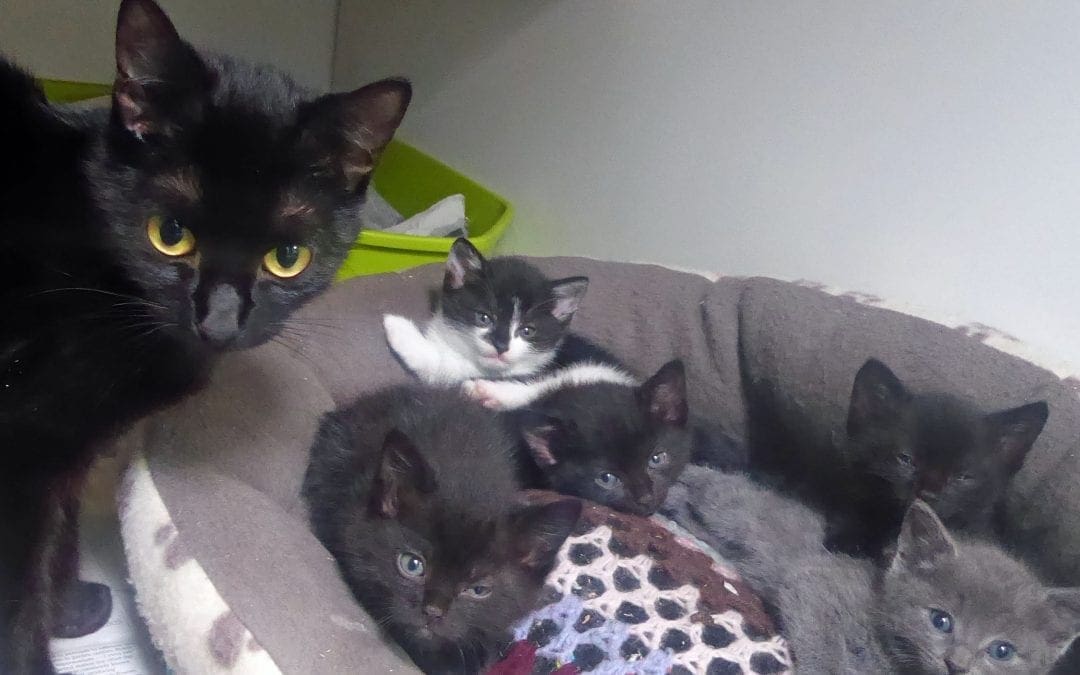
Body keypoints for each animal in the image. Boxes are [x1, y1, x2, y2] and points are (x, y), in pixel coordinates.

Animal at [0, 0, 409, 671]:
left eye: (288, 257)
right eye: (170, 235)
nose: (217, 321)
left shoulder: (59, 449)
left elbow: (58, 531)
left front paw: (71, 608)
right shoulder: (19, 449)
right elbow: (16, 601)